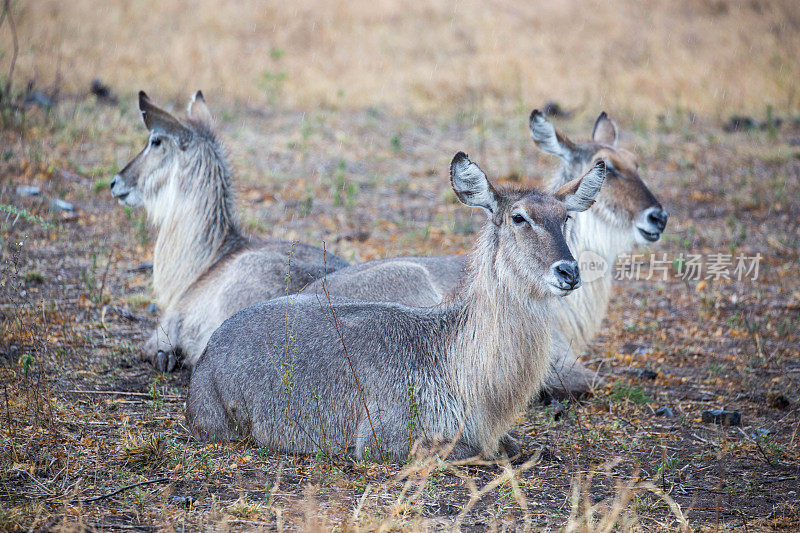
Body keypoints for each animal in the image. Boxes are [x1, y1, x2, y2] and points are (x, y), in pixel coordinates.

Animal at [186, 152, 608, 460]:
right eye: (519, 217)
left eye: (565, 216)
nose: (569, 271)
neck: (454, 362)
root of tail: (207, 352)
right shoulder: (384, 438)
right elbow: (480, 453)